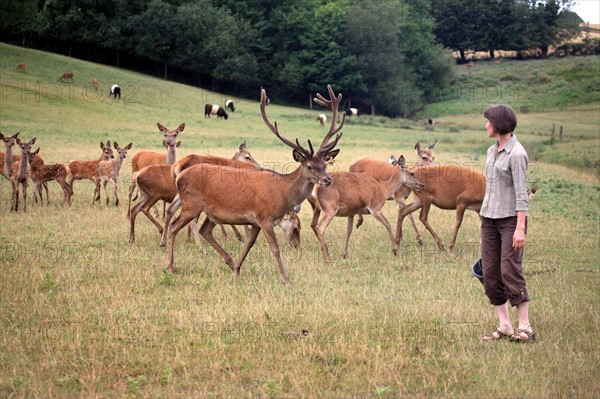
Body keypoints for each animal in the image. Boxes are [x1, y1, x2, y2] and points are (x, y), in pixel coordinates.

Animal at [164, 85, 344, 282]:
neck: (283, 193)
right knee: (174, 227)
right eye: (310, 166)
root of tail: (178, 175)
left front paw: (237, 269)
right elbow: (275, 248)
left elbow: (249, 244)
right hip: (191, 204)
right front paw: (286, 278)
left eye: (325, 165)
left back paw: (229, 262)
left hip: (212, 212)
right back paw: (170, 266)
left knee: (205, 230)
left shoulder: (256, 221)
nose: (327, 180)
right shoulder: (264, 217)